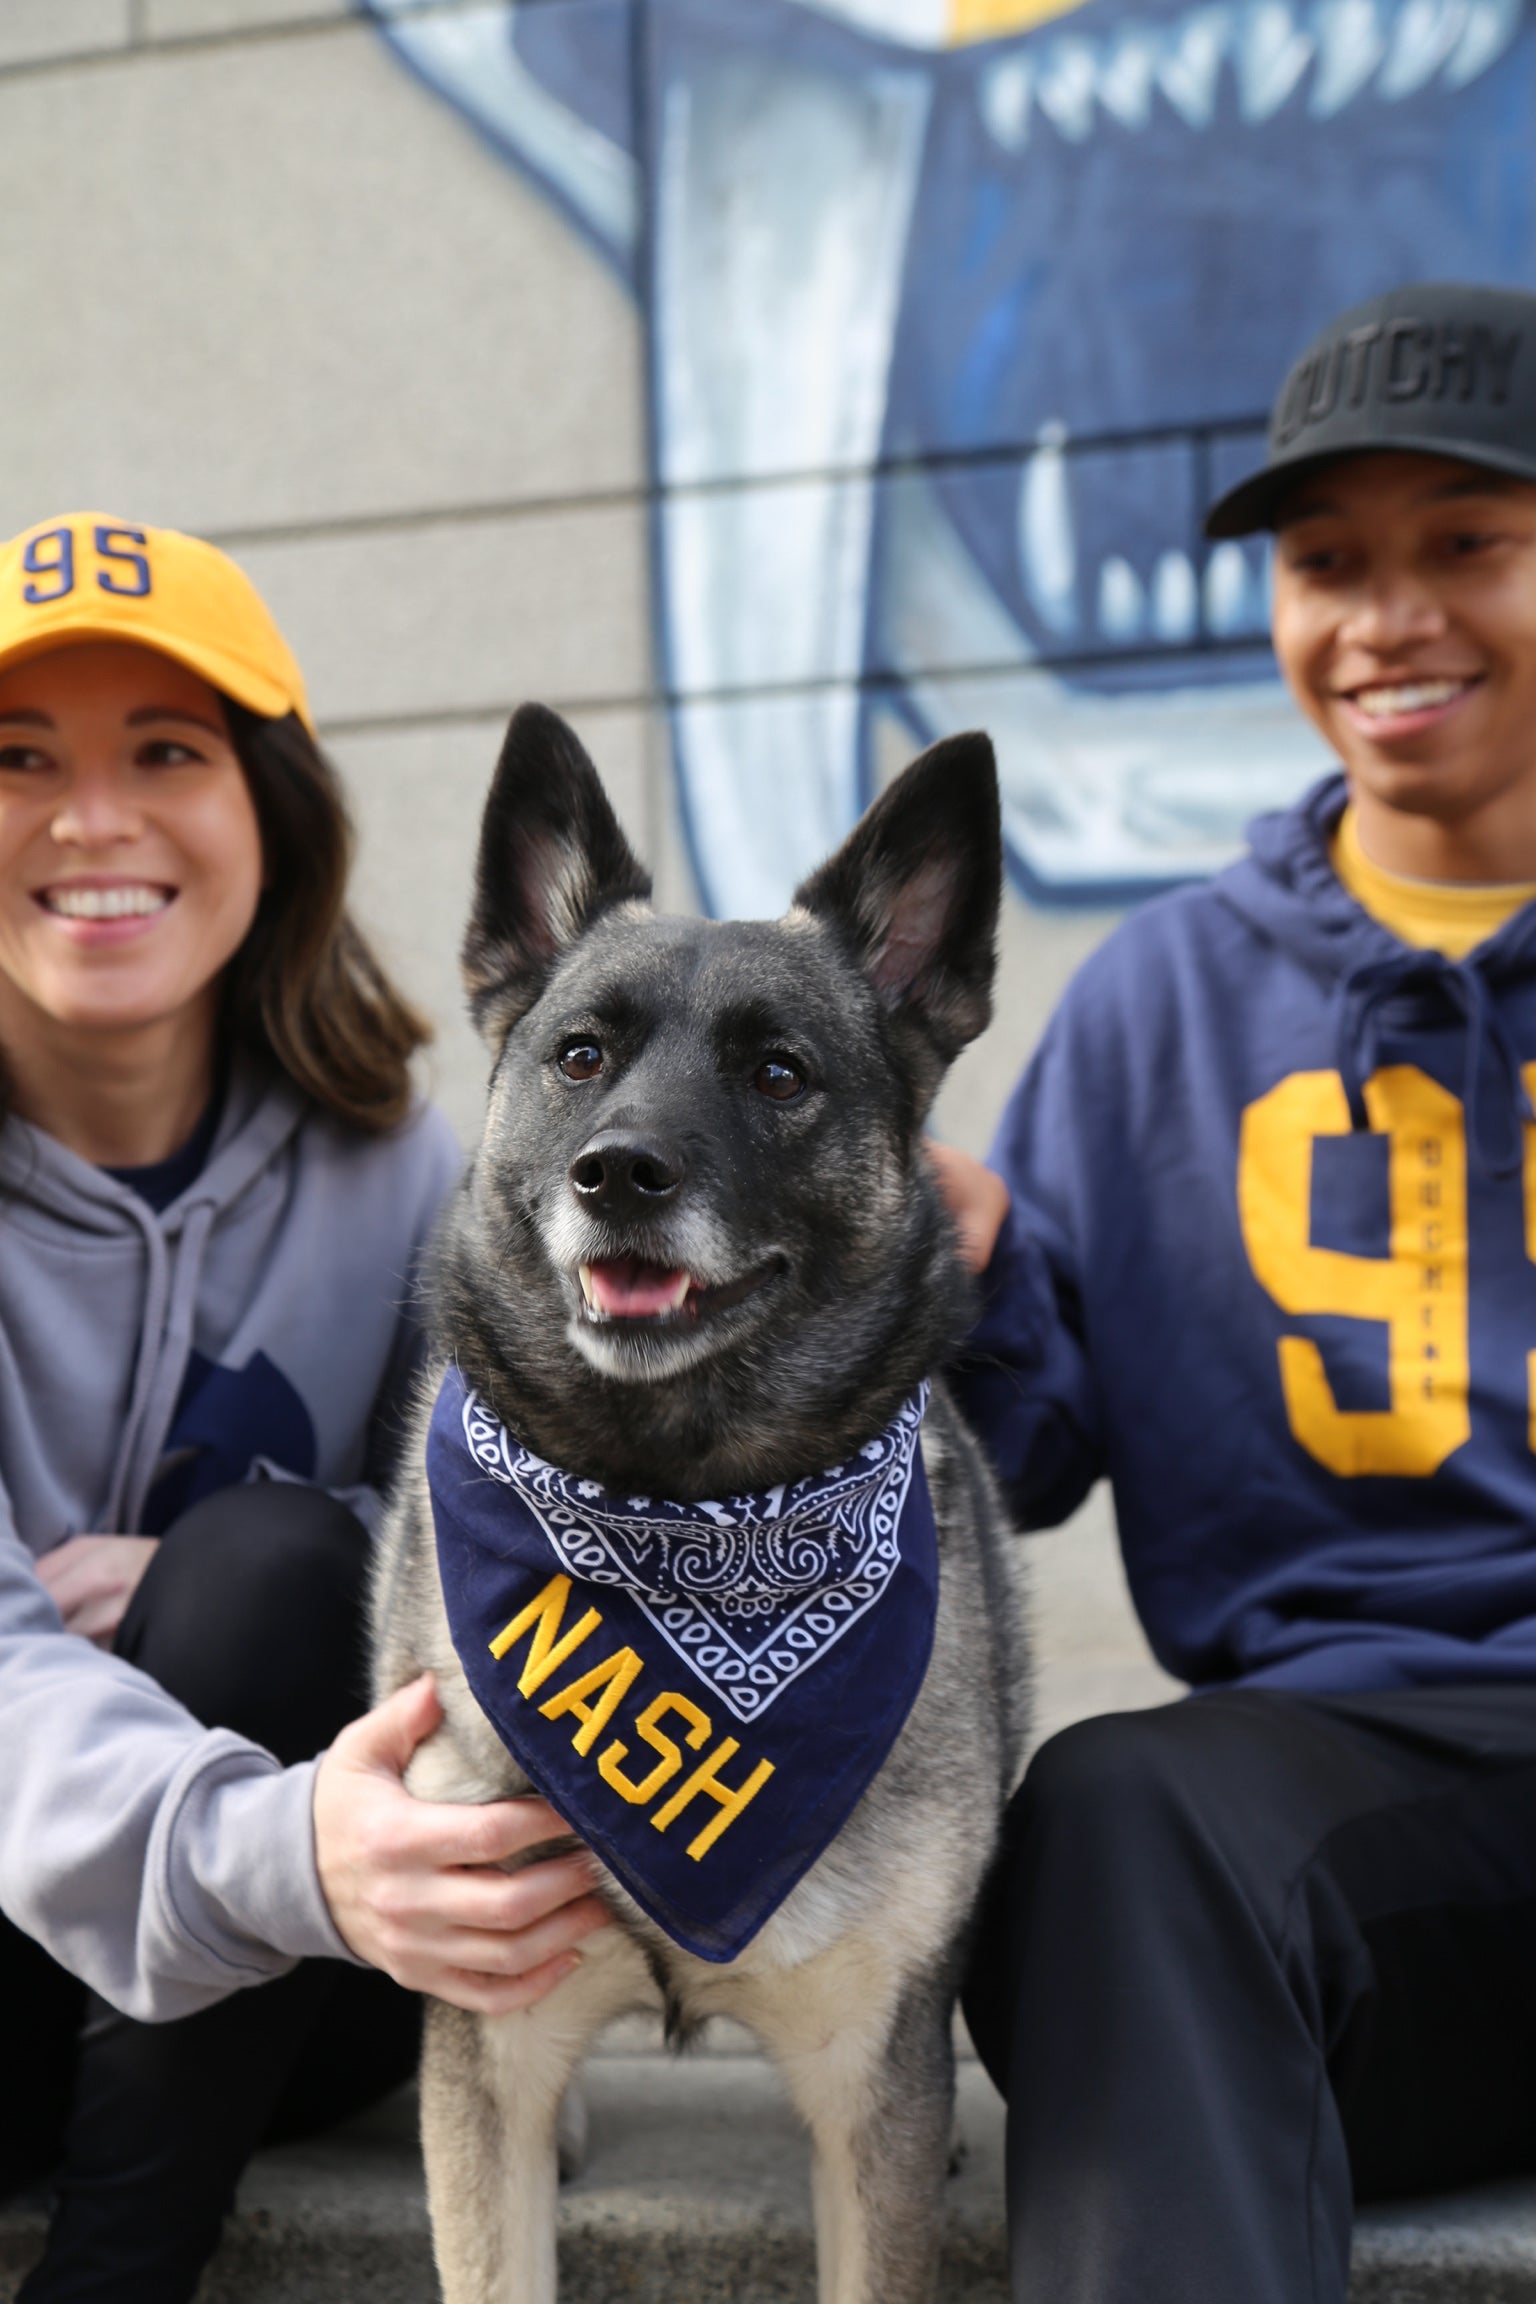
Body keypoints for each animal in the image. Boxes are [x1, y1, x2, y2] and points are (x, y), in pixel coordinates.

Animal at [368, 700, 1031, 2304]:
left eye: (779, 1074)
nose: (619, 1175)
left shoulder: (871, 2087)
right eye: (580, 1056)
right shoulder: (489, 2043)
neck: (673, 1513)